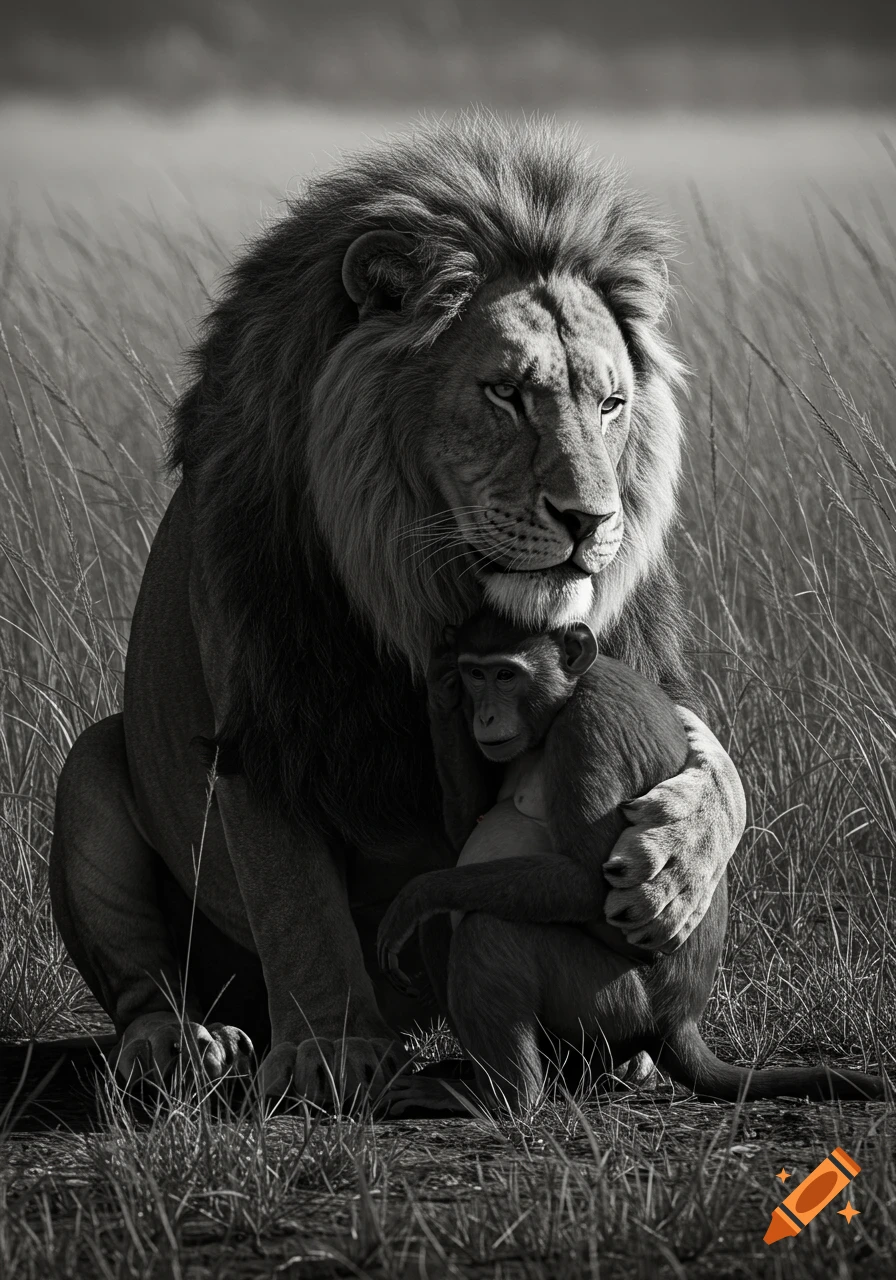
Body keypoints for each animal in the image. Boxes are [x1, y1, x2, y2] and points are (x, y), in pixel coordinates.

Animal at [49, 113, 745, 1104]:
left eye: (612, 403)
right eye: (506, 393)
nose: (591, 520)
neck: (417, 588)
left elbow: (715, 764)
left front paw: (676, 865)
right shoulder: (265, 717)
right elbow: (297, 903)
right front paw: (334, 1049)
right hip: (89, 772)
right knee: (144, 983)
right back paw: (188, 1042)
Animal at [376, 611, 885, 1111]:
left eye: (506, 675)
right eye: (474, 674)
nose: (484, 715)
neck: (567, 694)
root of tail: (679, 1018)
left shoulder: (589, 726)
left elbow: (588, 883)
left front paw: (416, 893)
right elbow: (469, 828)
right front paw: (441, 695)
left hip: (616, 1005)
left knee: (487, 930)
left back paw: (501, 1100)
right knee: (450, 919)